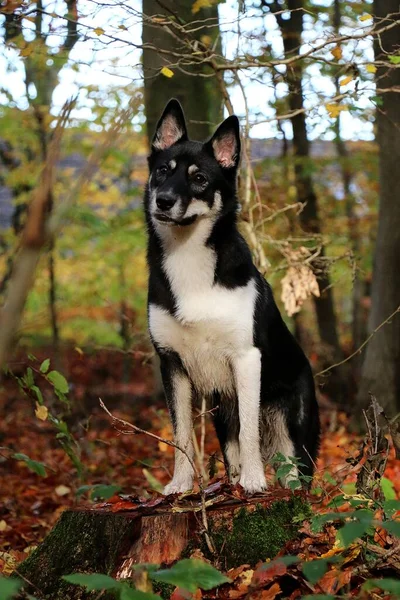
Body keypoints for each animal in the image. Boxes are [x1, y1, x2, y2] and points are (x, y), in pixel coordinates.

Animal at [144, 97, 318, 492]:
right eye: (162, 171)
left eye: (199, 179)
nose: (163, 201)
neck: (188, 255)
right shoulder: (171, 364)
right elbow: (181, 433)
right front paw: (180, 485)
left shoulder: (246, 358)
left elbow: (250, 431)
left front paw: (254, 481)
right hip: (222, 412)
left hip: (291, 422)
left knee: (294, 466)